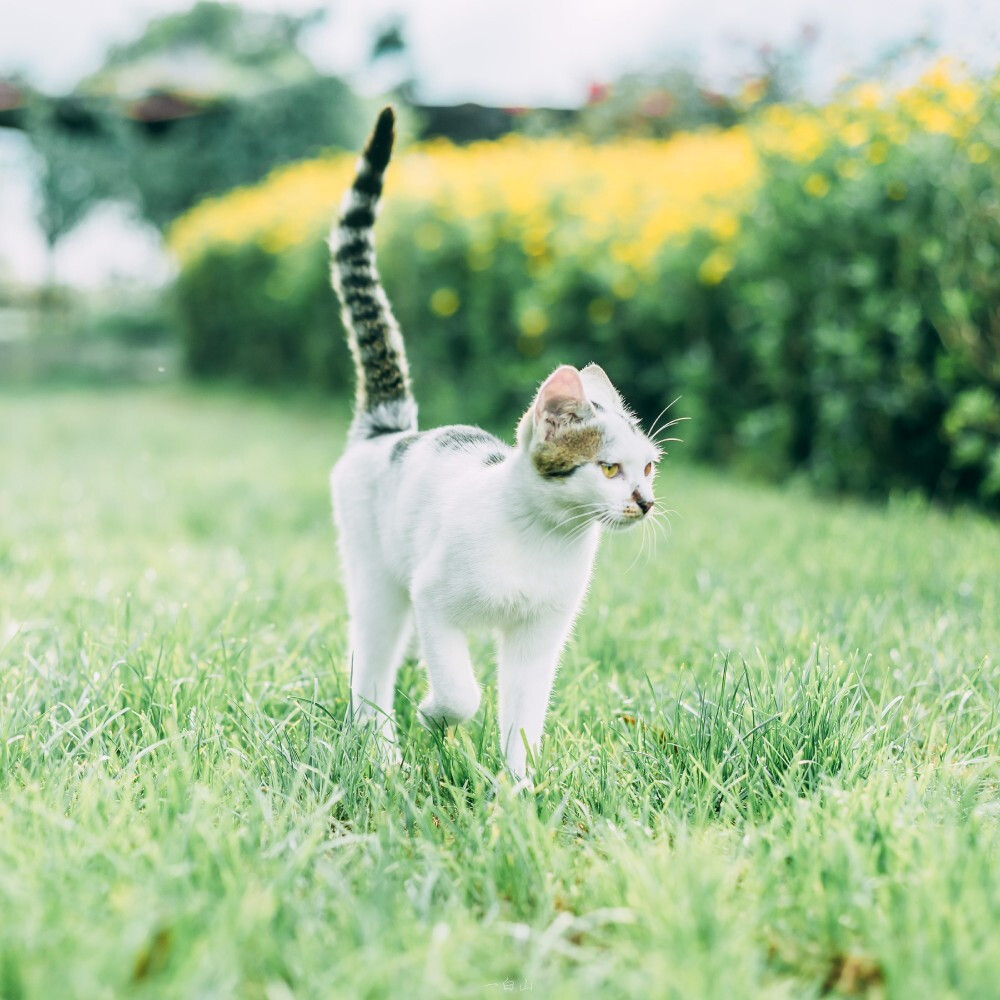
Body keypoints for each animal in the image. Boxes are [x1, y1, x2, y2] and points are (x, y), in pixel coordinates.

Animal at [330, 111, 664, 780]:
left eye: (648, 469)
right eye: (609, 469)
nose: (643, 502)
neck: (543, 537)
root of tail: (390, 429)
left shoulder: (541, 634)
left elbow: (523, 717)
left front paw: (518, 789)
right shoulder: (433, 598)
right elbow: (463, 692)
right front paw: (435, 717)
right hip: (378, 581)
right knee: (371, 673)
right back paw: (383, 755)